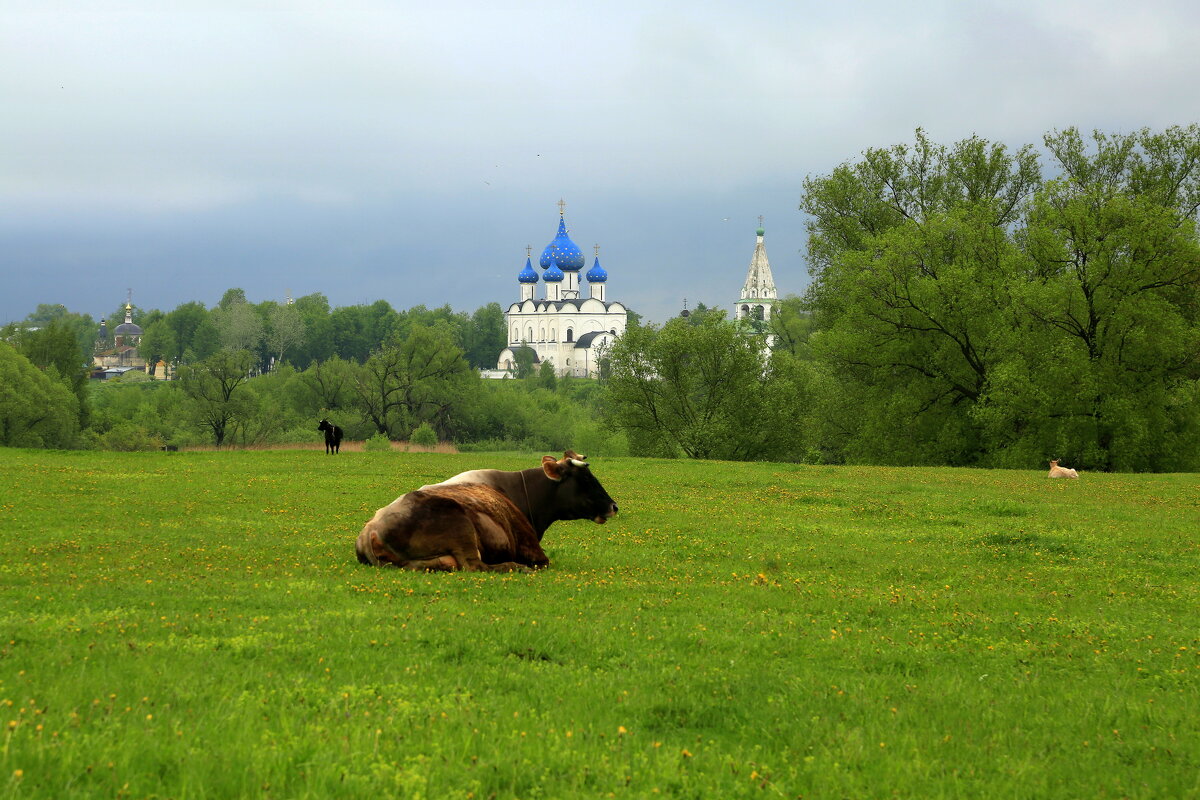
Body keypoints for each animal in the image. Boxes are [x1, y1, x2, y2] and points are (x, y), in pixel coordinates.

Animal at [352, 448, 619, 573]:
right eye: (585, 479)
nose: (613, 506)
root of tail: (371, 530)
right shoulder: (532, 549)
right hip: (461, 529)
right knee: (475, 566)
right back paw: (514, 567)